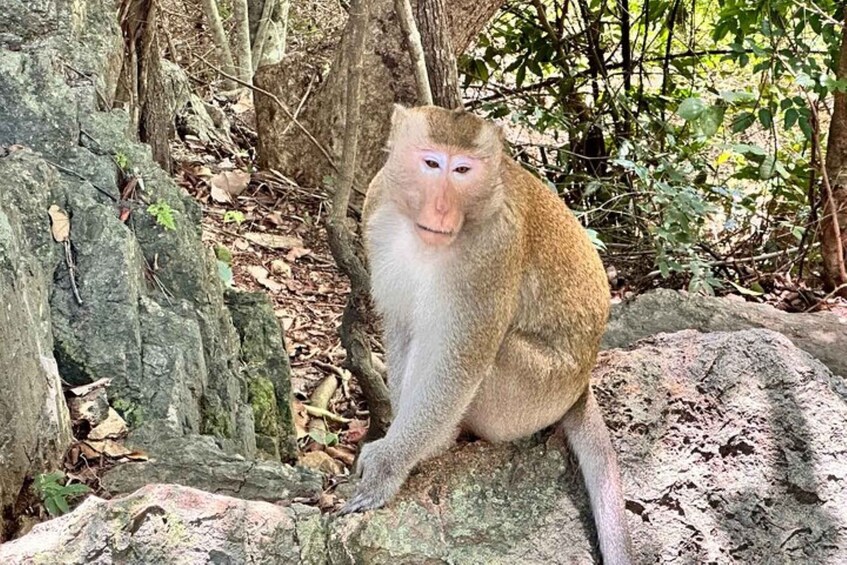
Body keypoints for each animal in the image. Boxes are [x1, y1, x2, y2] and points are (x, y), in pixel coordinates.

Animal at [341, 105, 632, 564]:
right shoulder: (376, 205)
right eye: (431, 163)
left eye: (463, 170)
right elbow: (403, 326)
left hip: (532, 393)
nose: (442, 210)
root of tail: (581, 386)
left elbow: (462, 360)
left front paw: (391, 463)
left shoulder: (494, 248)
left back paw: (439, 442)